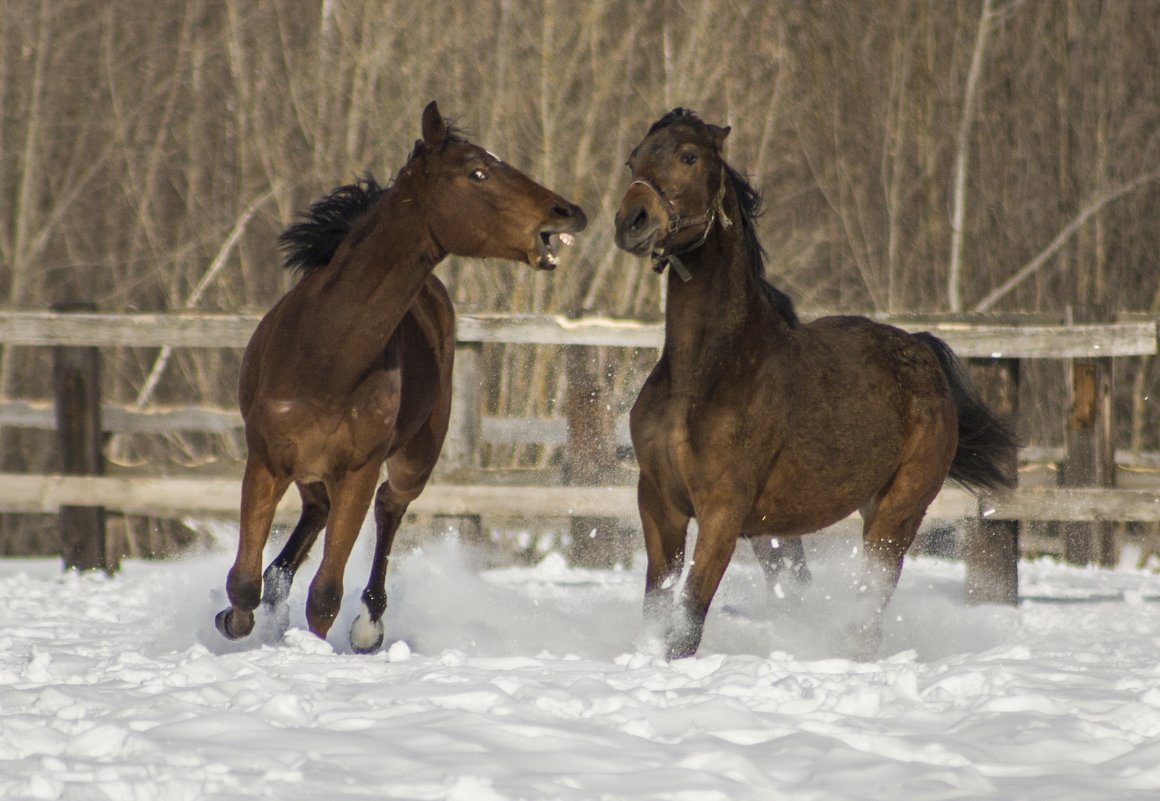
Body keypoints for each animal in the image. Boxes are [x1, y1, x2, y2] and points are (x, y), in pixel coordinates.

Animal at [214, 100, 584, 653]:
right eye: (477, 172)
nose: (568, 213)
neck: (326, 357)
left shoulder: (359, 469)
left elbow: (325, 592)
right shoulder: (266, 459)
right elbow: (242, 580)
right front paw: (233, 621)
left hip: (415, 456)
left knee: (390, 505)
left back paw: (369, 624)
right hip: (308, 470)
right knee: (310, 521)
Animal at [617, 109, 1016, 663]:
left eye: (688, 156)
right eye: (634, 159)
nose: (630, 221)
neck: (703, 376)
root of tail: (921, 350)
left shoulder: (722, 509)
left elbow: (689, 617)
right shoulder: (659, 502)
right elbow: (657, 605)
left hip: (897, 513)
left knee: (870, 603)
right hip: (786, 529)